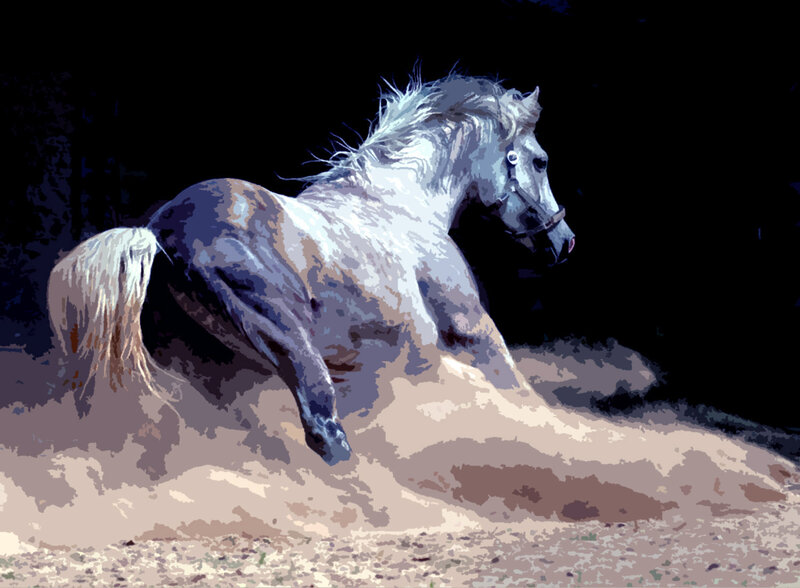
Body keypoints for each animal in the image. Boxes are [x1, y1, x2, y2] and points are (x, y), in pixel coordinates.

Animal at [47, 75, 575, 467]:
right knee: (324, 431)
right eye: (540, 161)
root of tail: (160, 234)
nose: (564, 240)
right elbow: (519, 393)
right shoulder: (468, 334)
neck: (401, 205)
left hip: (213, 369)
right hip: (285, 339)